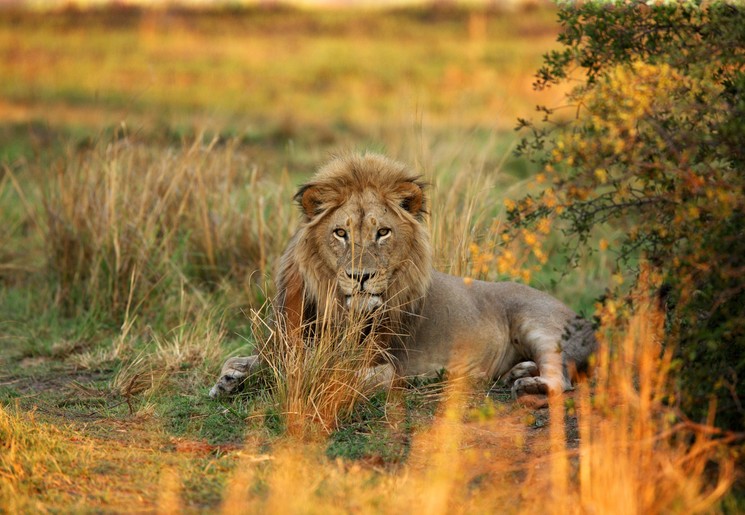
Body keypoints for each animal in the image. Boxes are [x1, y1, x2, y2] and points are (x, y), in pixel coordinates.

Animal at [208, 151, 592, 406]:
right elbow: (248, 361)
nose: (360, 276)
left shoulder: (386, 366)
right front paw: (229, 379)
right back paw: (517, 372)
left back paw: (526, 384)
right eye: (340, 233)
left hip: (539, 324)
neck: (335, 304)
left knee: (562, 379)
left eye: (382, 232)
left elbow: (340, 376)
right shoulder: (285, 343)